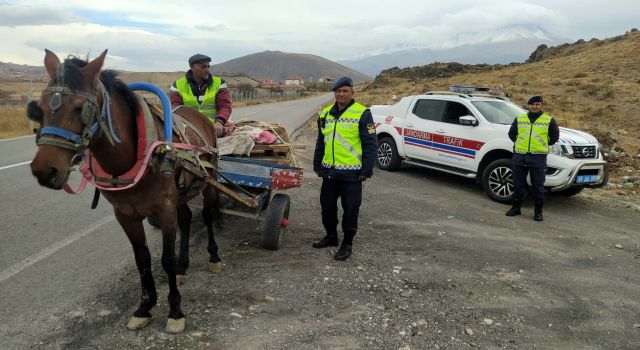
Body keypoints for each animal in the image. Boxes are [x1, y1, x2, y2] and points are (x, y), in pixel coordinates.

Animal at [29, 48, 222, 330]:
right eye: (39, 107)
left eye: (80, 108)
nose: (44, 170)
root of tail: (202, 118)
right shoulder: (125, 215)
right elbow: (142, 259)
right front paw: (144, 306)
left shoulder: (164, 208)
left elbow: (165, 258)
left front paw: (175, 310)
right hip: (181, 193)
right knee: (186, 219)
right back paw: (183, 266)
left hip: (207, 182)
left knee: (207, 216)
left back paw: (214, 257)